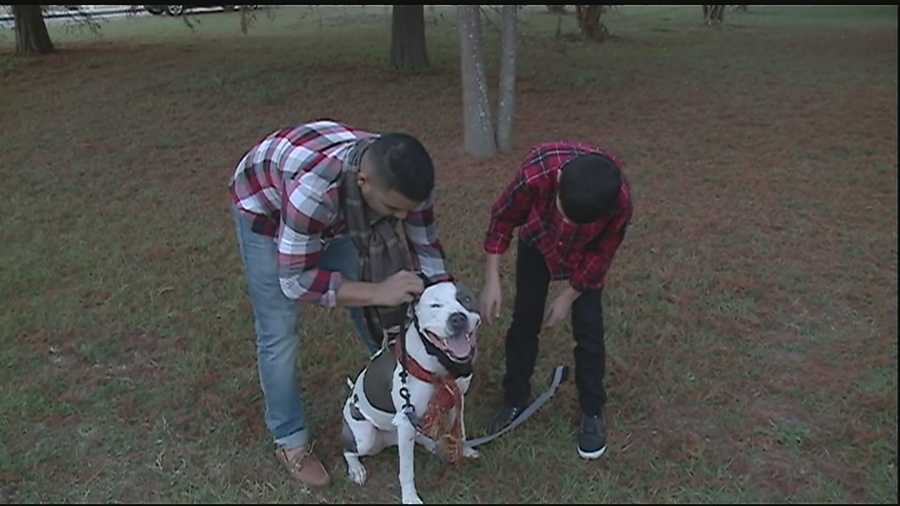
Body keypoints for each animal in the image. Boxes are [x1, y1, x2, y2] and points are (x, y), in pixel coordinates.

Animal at [342, 280, 482, 502]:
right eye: (435, 305)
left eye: (465, 299)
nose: (457, 318)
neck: (437, 361)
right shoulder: (407, 420)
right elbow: (406, 470)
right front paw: (410, 497)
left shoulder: (457, 400)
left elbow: (460, 431)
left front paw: (464, 449)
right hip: (366, 438)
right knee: (349, 450)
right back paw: (356, 469)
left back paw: (433, 444)